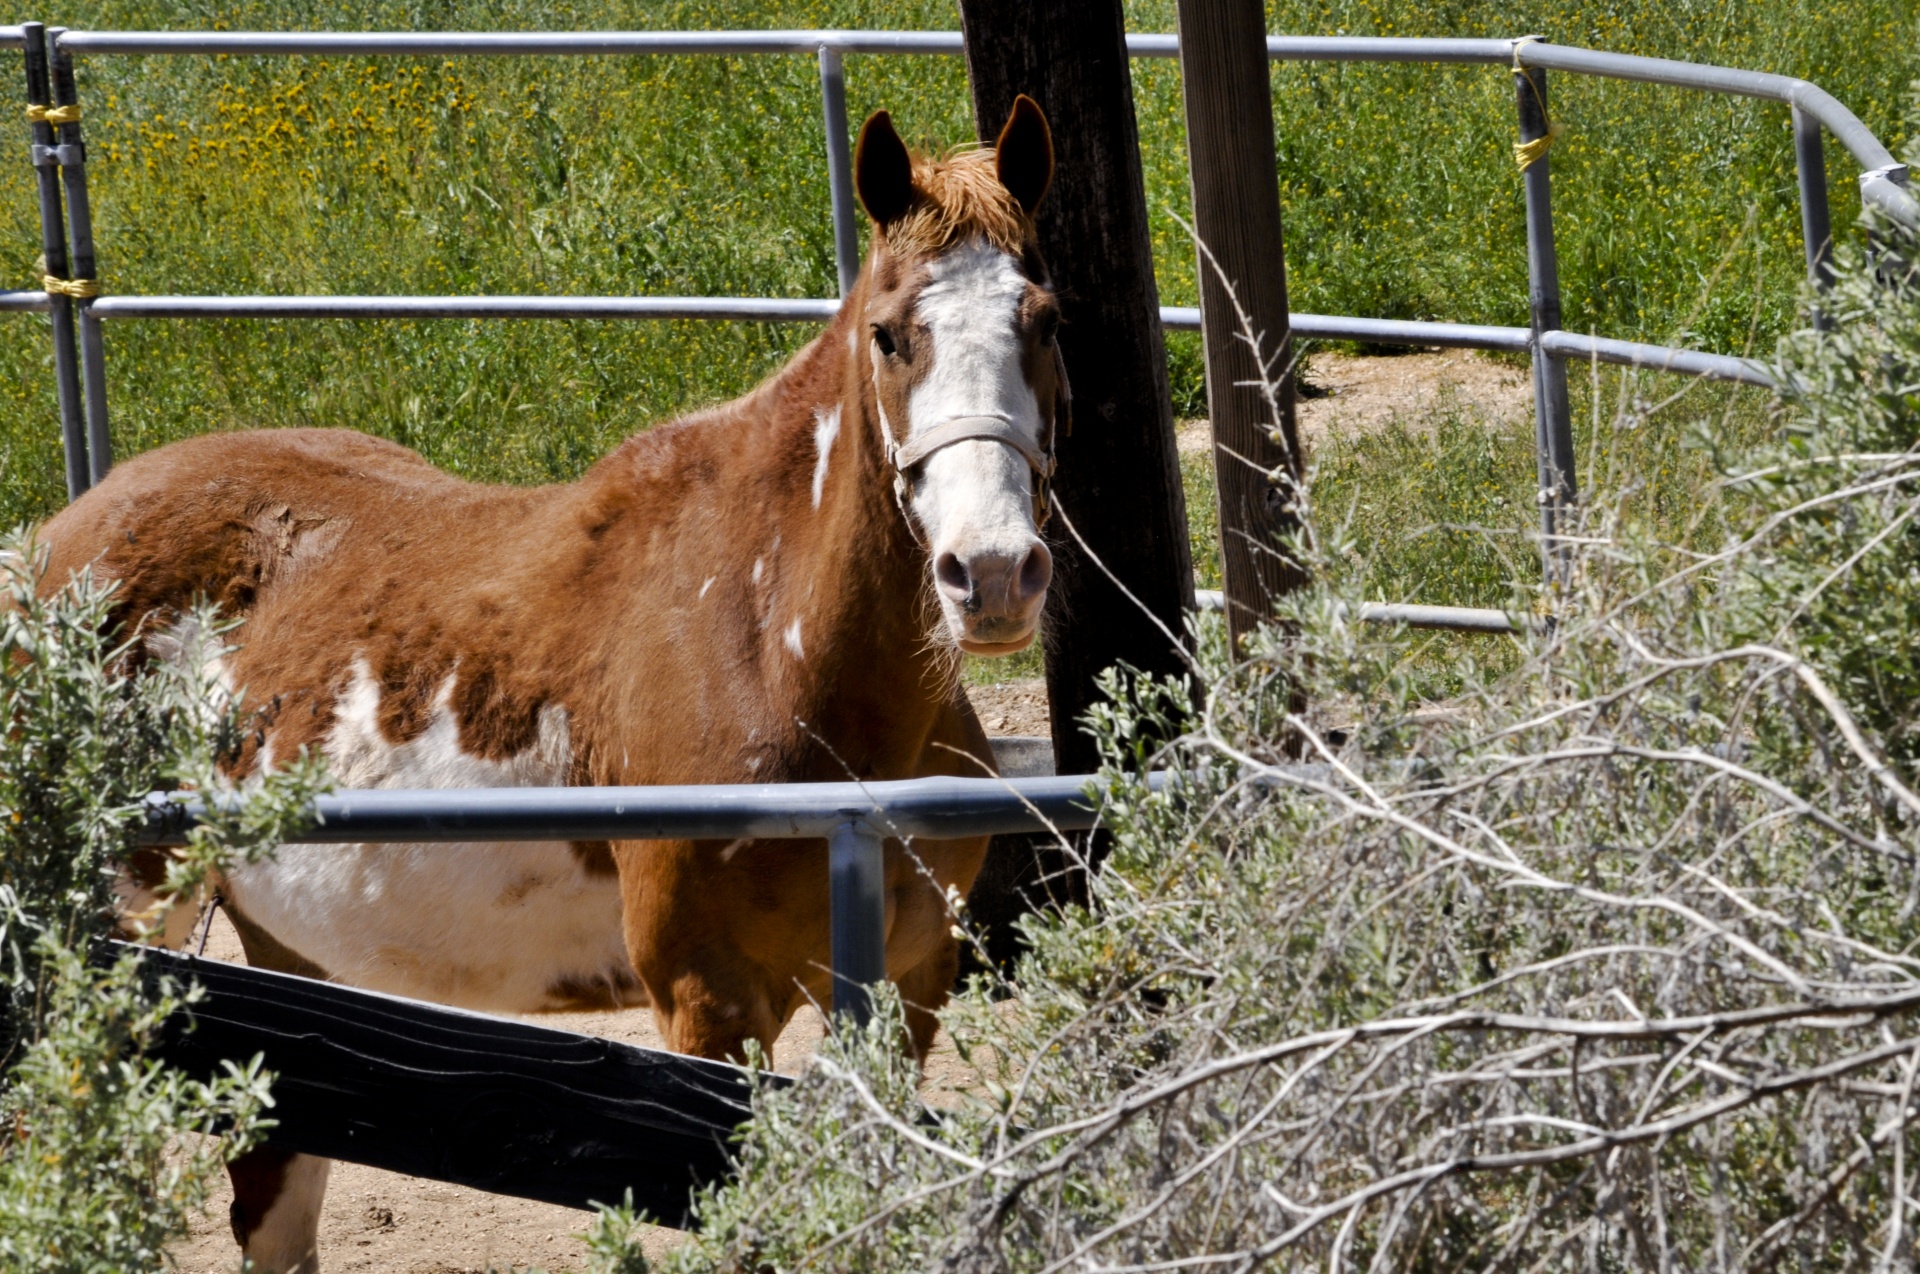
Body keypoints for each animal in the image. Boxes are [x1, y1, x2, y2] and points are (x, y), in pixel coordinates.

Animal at [33, 94, 1067, 1266]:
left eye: (1044, 320)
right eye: (891, 334)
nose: (992, 573)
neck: (771, 643)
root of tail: (56, 536)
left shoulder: (911, 986)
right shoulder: (711, 1003)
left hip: (285, 962)